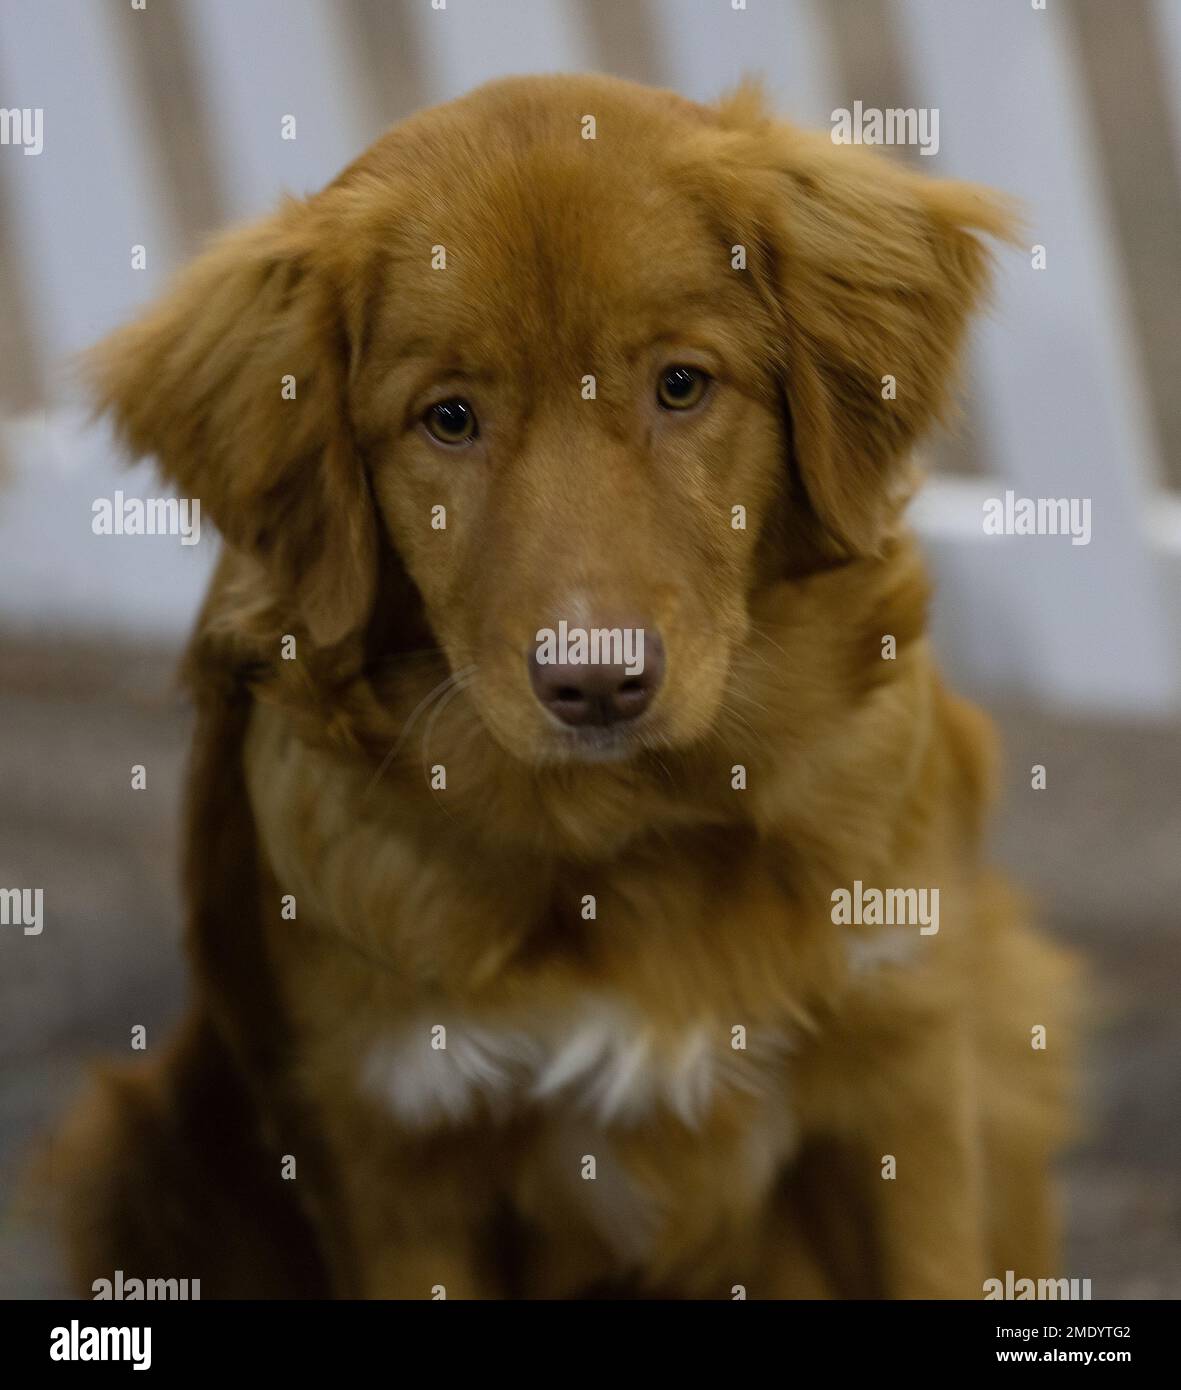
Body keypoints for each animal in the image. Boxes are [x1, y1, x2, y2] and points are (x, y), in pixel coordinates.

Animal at [52, 73, 1078, 1289]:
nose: (595, 685)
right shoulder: (393, 1159)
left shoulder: (897, 1069)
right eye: (448, 418)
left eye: (680, 385)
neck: (634, 836)